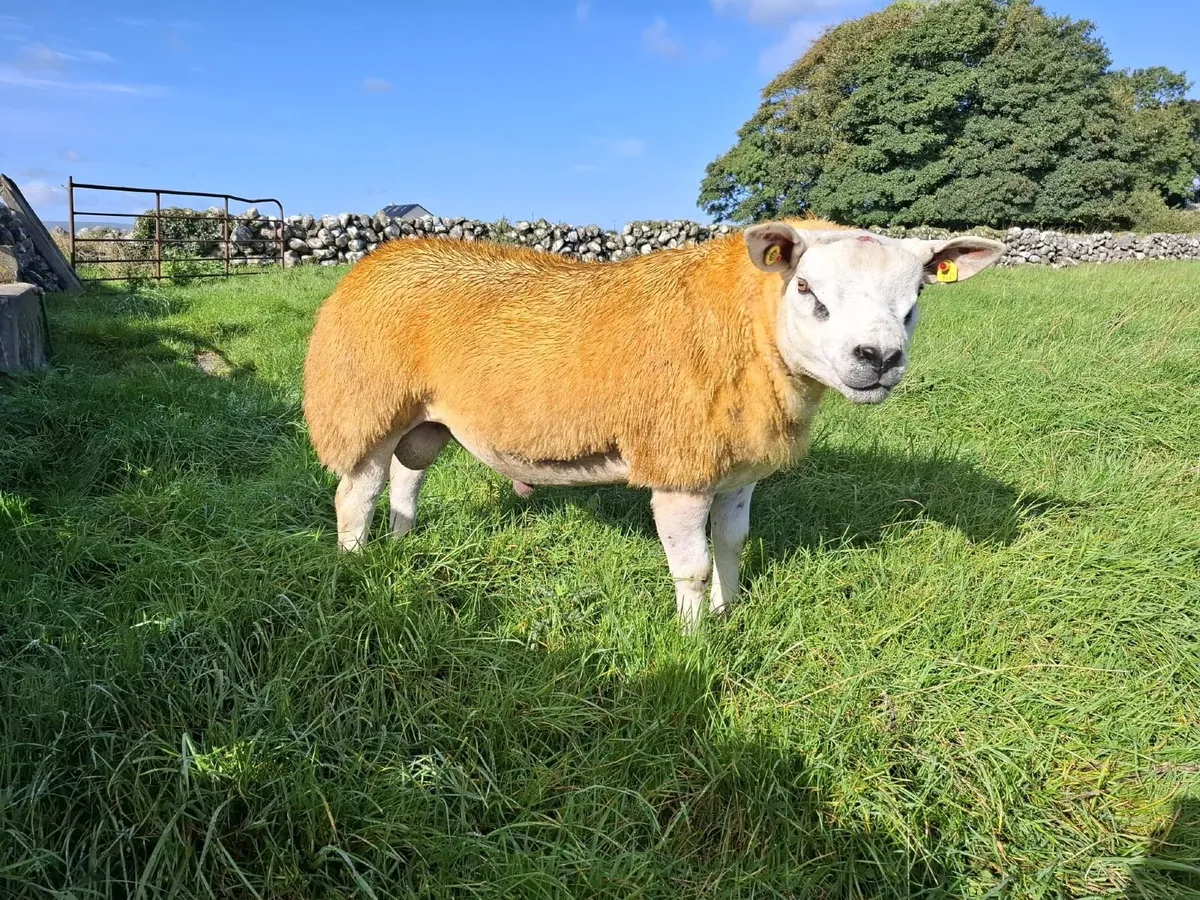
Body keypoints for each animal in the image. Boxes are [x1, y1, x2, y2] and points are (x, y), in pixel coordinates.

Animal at [302, 220, 1005, 629]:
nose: (878, 358)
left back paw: (403, 541)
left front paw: (728, 611)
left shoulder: (735, 467)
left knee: (407, 475)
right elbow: (691, 565)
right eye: (806, 288)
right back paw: (356, 563)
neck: (746, 325)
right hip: (362, 403)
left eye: (918, 294)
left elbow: (731, 544)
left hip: (425, 416)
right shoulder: (680, 466)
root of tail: (378, 258)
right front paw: (695, 641)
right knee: (356, 494)